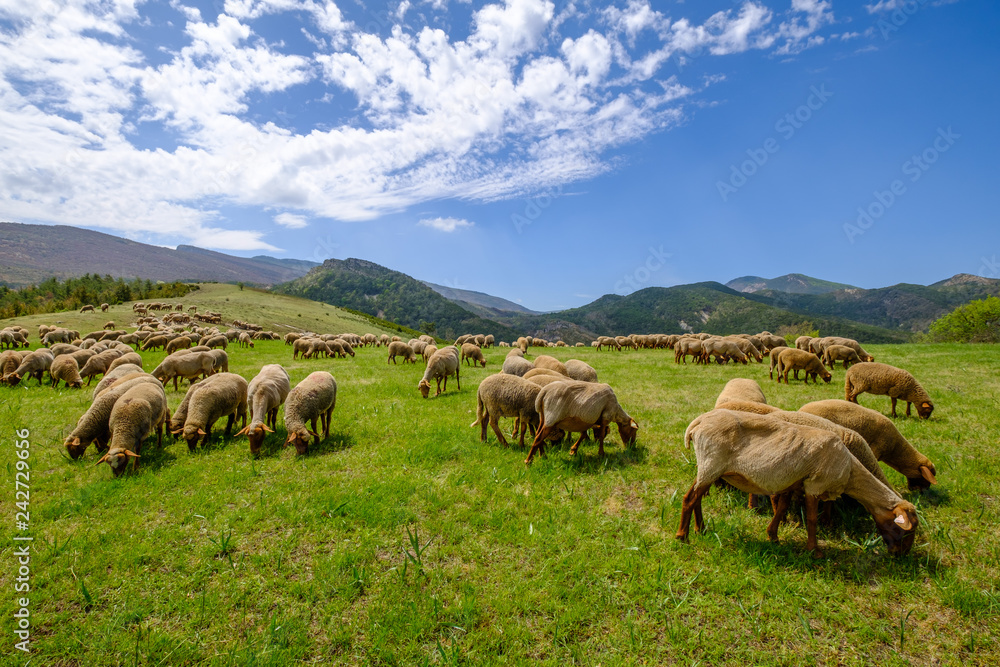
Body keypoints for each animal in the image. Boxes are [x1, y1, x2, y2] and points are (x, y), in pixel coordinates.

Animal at [676, 409, 918, 558]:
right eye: (906, 529)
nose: (901, 555)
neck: (850, 470)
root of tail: (698, 422)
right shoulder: (815, 485)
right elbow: (811, 519)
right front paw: (815, 551)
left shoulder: (793, 483)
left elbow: (781, 509)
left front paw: (773, 536)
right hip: (712, 462)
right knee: (689, 498)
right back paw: (682, 536)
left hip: (709, 467)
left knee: (697, 497)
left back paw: (700, 529)